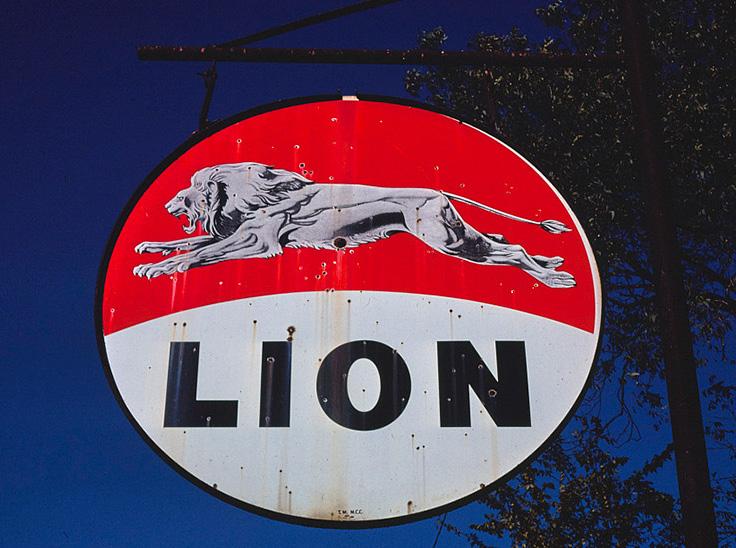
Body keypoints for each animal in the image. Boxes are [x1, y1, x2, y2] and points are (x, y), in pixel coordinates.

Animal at [133, 162, 576, 288]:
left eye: (191, 189)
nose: (167, 204)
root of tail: (437, 191)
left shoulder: (258, 242)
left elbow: (200, 252)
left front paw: (160, 268)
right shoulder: (241, 234)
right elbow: (190, 244)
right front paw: (149, 252)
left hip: (446, 242)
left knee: (512, 250)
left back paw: (554, 279)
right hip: (458, 236)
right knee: (504, 241)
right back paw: (552, 263)